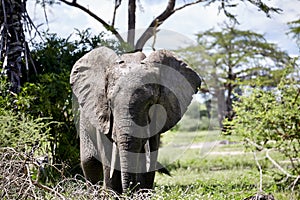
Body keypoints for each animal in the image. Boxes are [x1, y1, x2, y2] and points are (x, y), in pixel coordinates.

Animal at [70, 46, 202, 193]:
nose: (128, 192)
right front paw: (112, 193)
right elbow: (107, 156)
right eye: (110, 102)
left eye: (151, 103)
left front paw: (142, 192)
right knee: (89, 162)